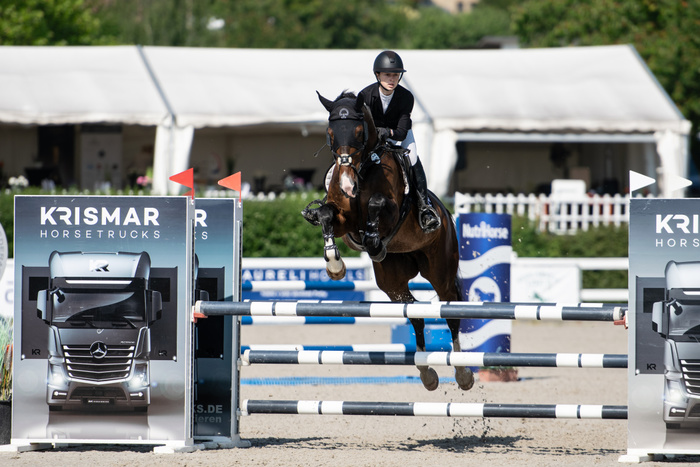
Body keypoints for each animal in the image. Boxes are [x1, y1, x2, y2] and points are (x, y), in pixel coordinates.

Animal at [302, 91, 474, 392]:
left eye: (359, 131)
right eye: (330, 133)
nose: (347, 185)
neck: (363, 169)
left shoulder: (391, 212)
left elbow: (377, 204)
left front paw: (373, 241)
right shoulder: (344, 220)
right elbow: (325, 215)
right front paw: (335, 266)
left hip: (440, 270)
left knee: (450, 310)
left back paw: (463, 373)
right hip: (392, 283)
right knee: (414, 311)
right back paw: (426, 373)